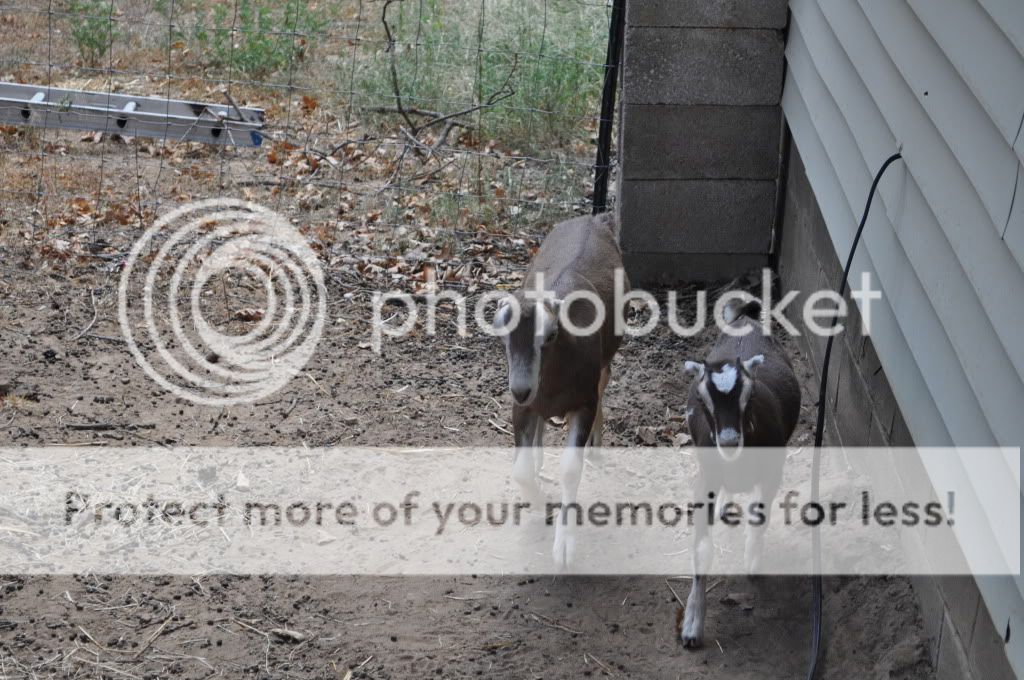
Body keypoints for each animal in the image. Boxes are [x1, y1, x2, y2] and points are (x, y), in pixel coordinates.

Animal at [493, 212, 627, 568]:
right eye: (501, 336)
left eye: (551, 335)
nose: (521, 388)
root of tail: (593, 217)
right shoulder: (522, 407)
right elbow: (520, 470)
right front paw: (540, 503)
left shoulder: (584, 402)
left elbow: (570, 470)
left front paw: (564, 546)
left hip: (605, 362)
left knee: (605, 382)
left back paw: (595, 445)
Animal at [679, 298, 801, 648]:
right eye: (701, 397)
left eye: (750, 394)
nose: (730, 440)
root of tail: (746, 317)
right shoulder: (705, 480)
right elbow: (702, 551)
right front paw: (692, 625)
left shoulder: (773, 472)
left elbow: (760, 517)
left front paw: (753, 562)